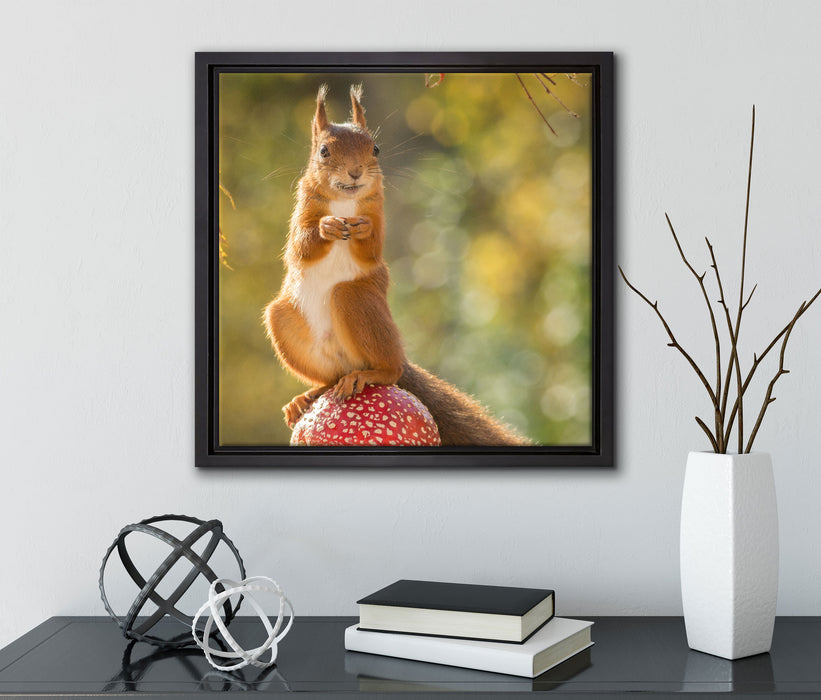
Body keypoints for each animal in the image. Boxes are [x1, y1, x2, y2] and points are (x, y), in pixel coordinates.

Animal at [263, 85, 529, 446]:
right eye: (323, 152)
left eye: (375, 149)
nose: (356, 171)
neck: (345, 202)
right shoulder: (301, 212)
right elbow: (301, 247)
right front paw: (326, 228)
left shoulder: (378, 213)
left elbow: (372, 250)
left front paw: (362, 231)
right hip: (284, 322)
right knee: (330, 379)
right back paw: (307, 396)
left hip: (358, 300)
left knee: (390, 370)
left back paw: (370, 373)